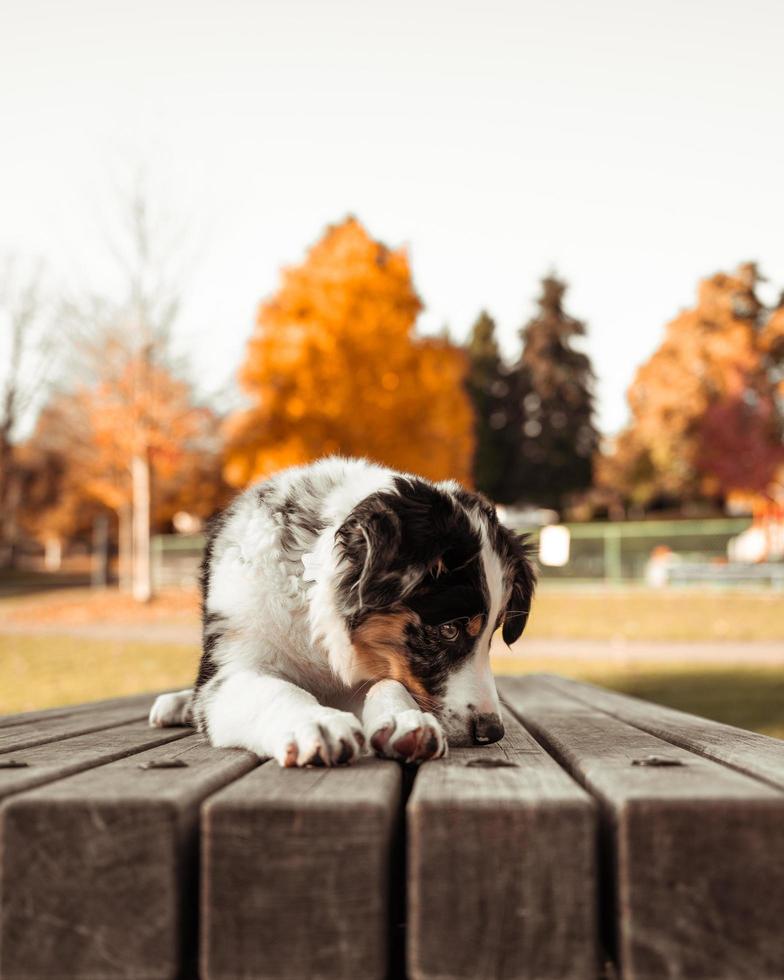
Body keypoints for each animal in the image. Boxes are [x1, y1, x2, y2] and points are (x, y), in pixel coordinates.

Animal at [150, 456, 536, 768]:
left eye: (491, 635)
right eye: (449, 630)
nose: (492, 731)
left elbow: (387, 682)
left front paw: (404, 720)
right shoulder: (229, 669)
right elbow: (275, 690)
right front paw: (315, 722)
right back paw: (177, 704)